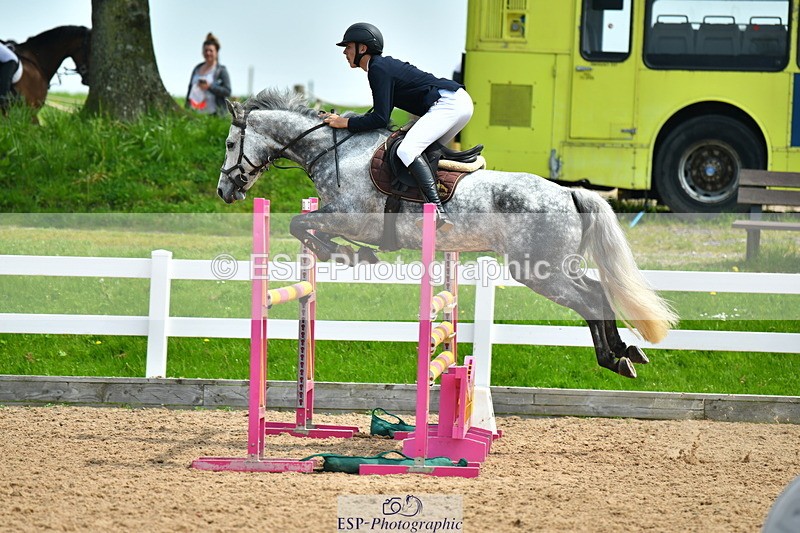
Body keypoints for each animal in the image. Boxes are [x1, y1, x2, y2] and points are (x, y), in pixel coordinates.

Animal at [216, 89, 679, 379]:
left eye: (229, 144)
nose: (224, 191)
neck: (336, 152)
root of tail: (569, 192)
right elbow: (303, 226)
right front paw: (349, 254)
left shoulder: (351, 218)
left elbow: (299, 224)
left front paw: (348, 255)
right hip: (554, 266)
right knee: (598, 291)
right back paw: (624, 353)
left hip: (538, 270)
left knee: (589, 299)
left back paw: (614, 358)